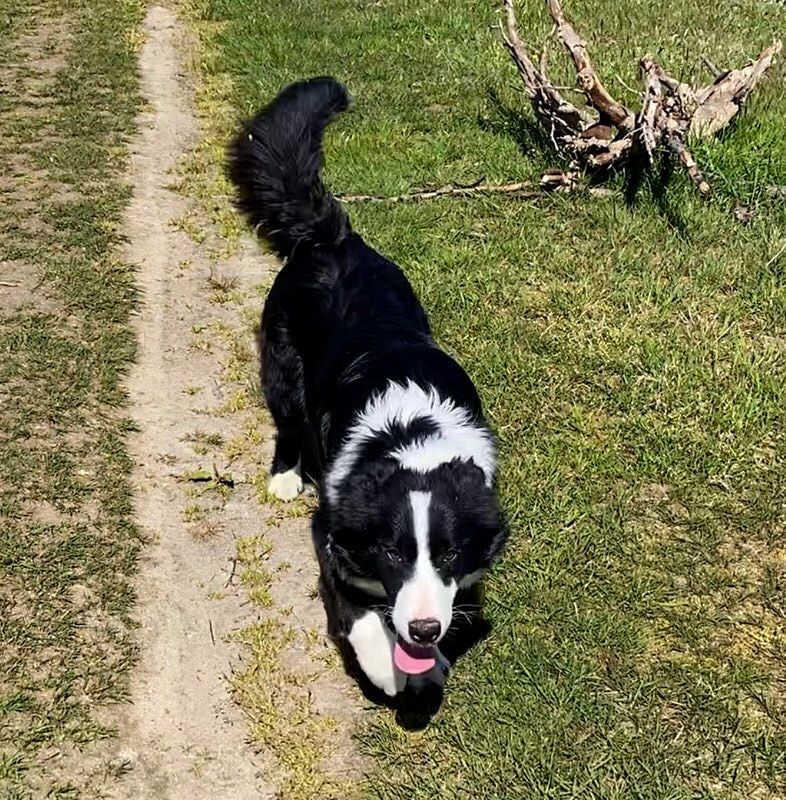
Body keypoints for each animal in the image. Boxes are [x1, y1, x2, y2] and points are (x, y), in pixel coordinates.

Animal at [230, 78, 506, 696]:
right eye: (391, 554)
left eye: (449, 553)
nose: (425, 631)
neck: (413, 437)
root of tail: (332, 236)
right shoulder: (335, 530)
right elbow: (356, 609)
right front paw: (388, 667)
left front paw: (433, 656)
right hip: (282, 367)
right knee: (287, 421)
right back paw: (285, 476)